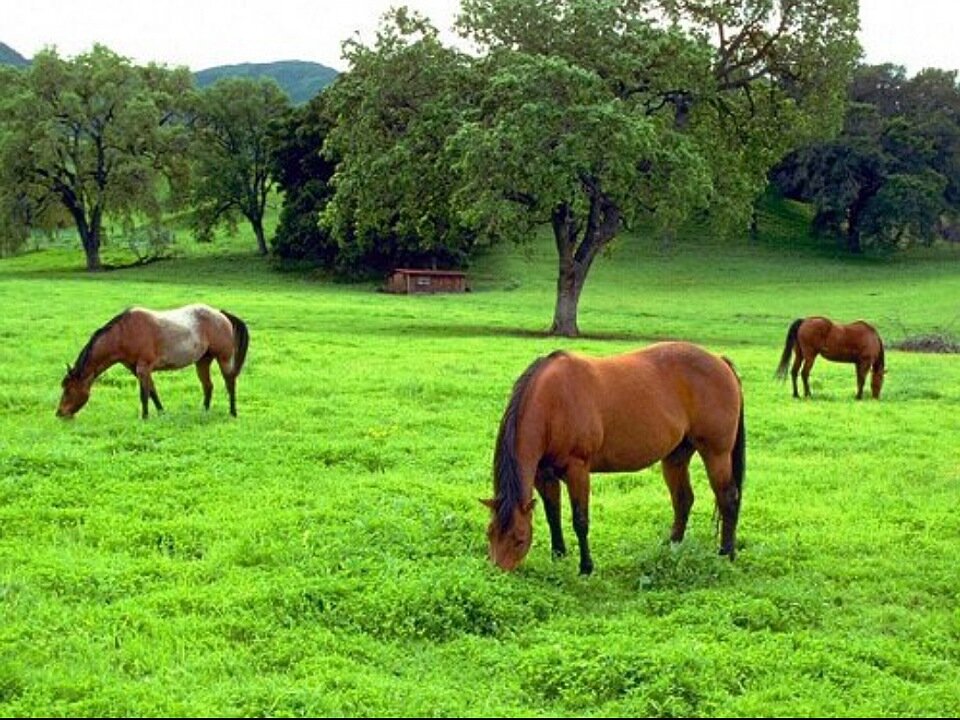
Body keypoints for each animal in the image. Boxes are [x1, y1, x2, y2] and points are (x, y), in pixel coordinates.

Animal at [56, 302, 249, 416]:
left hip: (223, 358)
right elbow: (152, 391)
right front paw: (161, 413)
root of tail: (220, 314)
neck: (124, 333)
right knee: (208, 386)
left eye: (68, 390)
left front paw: (145, 417)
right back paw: (205, 411)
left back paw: (233, 412)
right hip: (203, 360)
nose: (59, 413)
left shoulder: (143, 367)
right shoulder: (138, 370)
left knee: (230, 382)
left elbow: (144, 394)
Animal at [484, 342, 748, 572]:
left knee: (728, 498)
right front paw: (558, 556)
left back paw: (726, 553)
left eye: (519, 539)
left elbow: (580, 520)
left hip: (716, 453)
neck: (553, 403)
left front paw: (586, 567)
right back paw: (672, 546)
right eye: (490, 533)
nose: (499, 572)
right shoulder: (543, 474)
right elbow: (552, 515)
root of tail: (721, 361)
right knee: (683, 499)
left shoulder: (577, 469)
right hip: (676, 456)